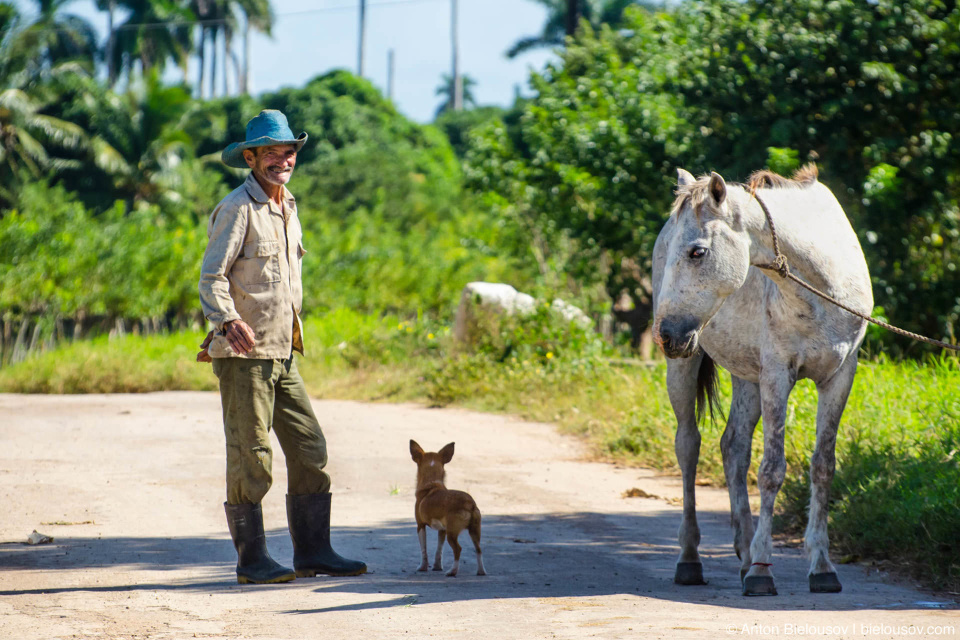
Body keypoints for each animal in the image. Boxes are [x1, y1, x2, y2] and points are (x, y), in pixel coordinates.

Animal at [406, 440, 484, 576]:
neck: (432, 483)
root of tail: (470, 503)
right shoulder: (442, 529)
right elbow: (439, 550)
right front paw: (437, 566)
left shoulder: (420, 525)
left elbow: (424, 549)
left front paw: (422, 567)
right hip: (474, 530)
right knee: (478, 549)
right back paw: (481, 571)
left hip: (452, 533)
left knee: (458, 549)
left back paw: (452, 571)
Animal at [652, 165, 872, 596]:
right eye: (674, 251)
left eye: (697, 252)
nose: (666, 333)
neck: (823, 285)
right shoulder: (776, 374)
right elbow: (772, 470)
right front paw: (761, 572)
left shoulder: (840, 376)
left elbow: (823, 466)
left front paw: (822, 567)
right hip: (687, 365)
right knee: (689, 446)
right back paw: (691, 559)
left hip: (745, 376)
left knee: (733, 446)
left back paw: (743, 552)